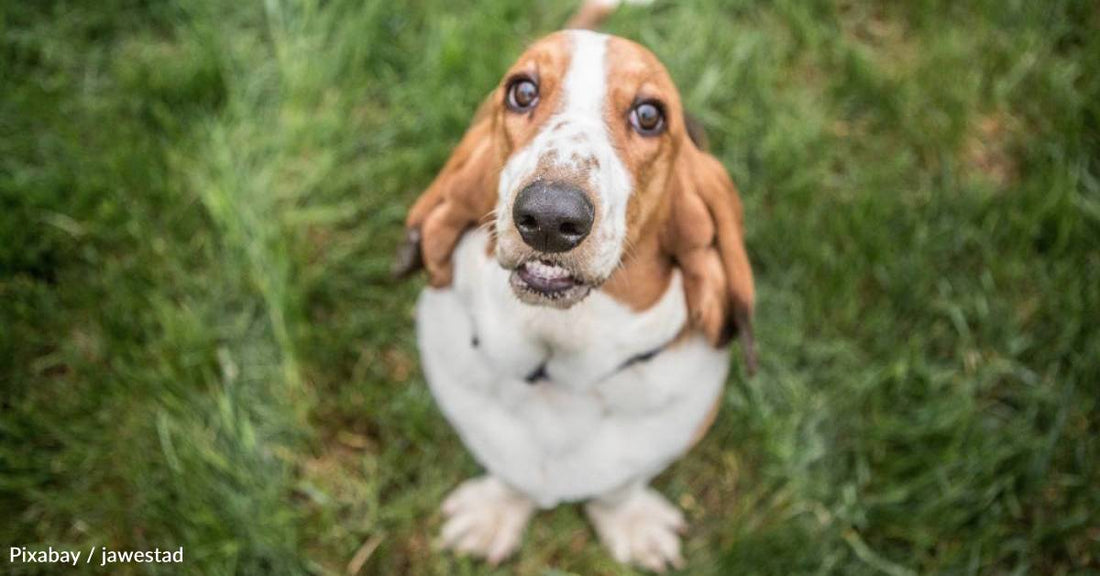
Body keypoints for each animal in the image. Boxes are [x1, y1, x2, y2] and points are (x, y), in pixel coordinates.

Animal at [393, 0, 756, 567]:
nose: (548, 216)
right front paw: (493, 515)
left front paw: (630, 525)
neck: (558, 363)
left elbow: (620, 488)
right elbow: (509, 475)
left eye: (649, 115)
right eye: (522, 91)